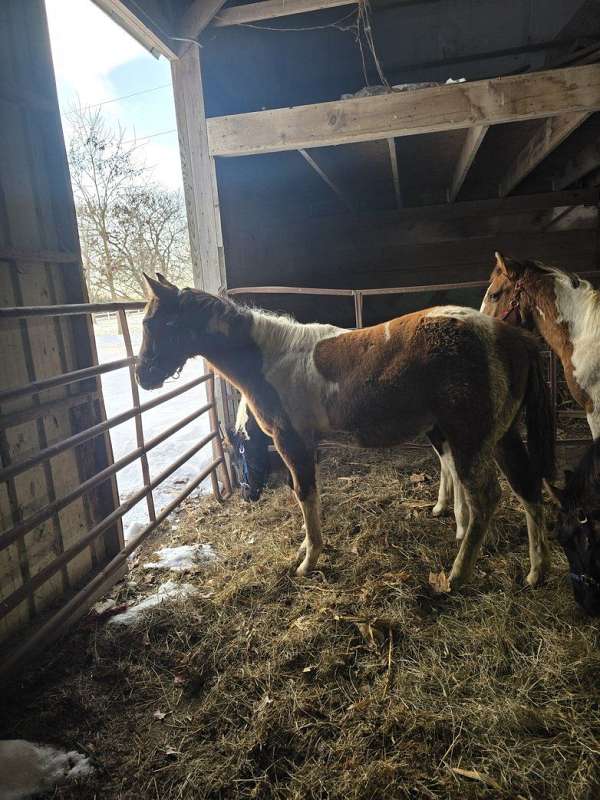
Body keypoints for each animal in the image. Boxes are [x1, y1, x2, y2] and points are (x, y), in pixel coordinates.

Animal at [136, 272, 555, 591]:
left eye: (155, 323)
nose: (143, 376)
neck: (271, 359)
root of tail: (514, 338)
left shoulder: (292, 442)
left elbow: (305, 494)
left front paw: (308, 560)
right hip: (499, 435)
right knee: (527, 487)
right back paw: (537, 571)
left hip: (471, 437)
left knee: (487, 497)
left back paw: (457, 575)